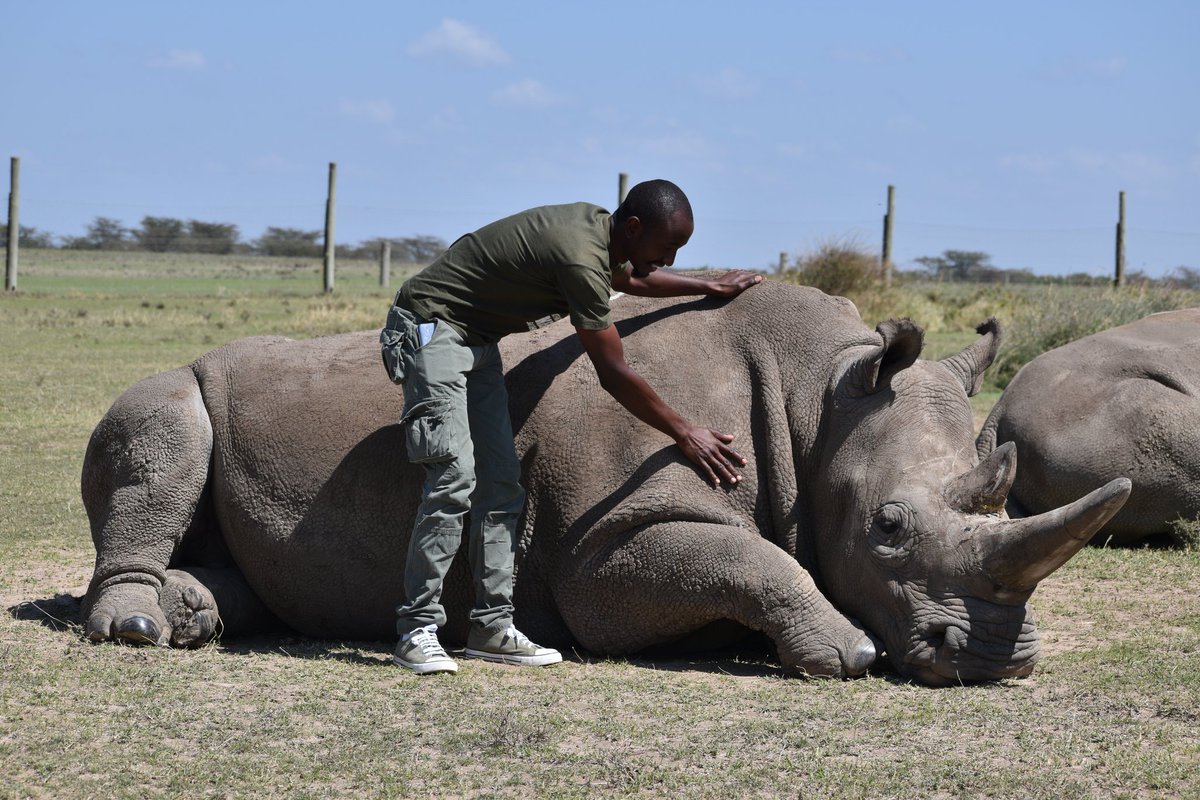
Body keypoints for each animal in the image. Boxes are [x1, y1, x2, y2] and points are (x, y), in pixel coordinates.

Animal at [81, 281, 1131, 686]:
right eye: (890, 529)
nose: (996, 659)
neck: (819, 396)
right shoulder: (608, 541)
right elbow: (752, 564)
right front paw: (844, 652)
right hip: (172, 384)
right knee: (163, 423)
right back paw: (136, 627)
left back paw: (192, 615)